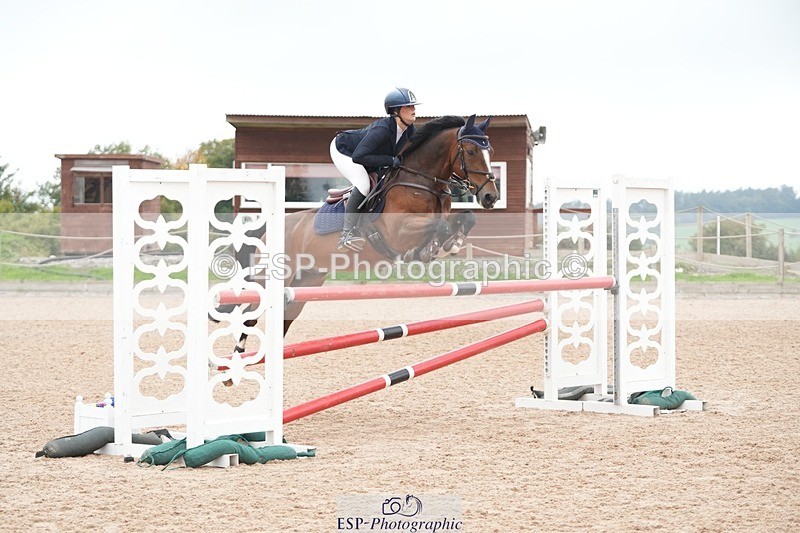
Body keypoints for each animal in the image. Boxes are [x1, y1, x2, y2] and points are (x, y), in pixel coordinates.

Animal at [230, 114, 499, 350]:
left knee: (284, 317)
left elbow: (464, 218)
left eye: (492, 152)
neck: (421, 180)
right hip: (273, 278)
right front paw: (429, 250)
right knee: (251, 314)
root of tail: (268, 230)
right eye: (472, 151)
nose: (491, 196)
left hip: (305, 282)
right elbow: (438, 226)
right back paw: (238, 357)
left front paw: (448, 244)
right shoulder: (398, 231)